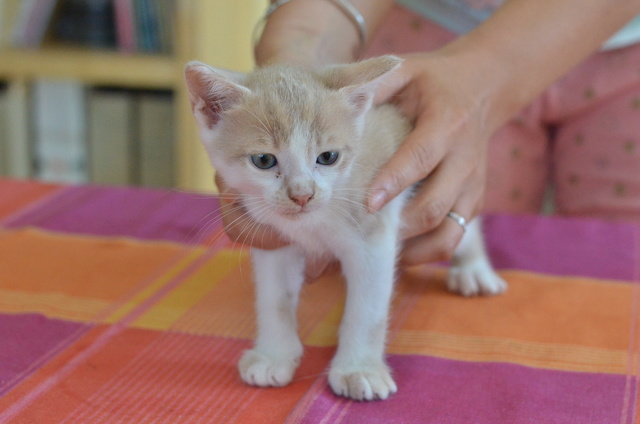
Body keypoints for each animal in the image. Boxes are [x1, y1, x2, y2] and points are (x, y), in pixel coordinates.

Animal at [184, 55, 504, 400]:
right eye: (264, 161)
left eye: (328, 157)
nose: (302, 194)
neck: (313, 222)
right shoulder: (272, 237)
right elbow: (275, 298)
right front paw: (274, 355)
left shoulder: (374, 230)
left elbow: (368, 308)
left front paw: (358, 369)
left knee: (465, 226)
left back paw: (473, 269)